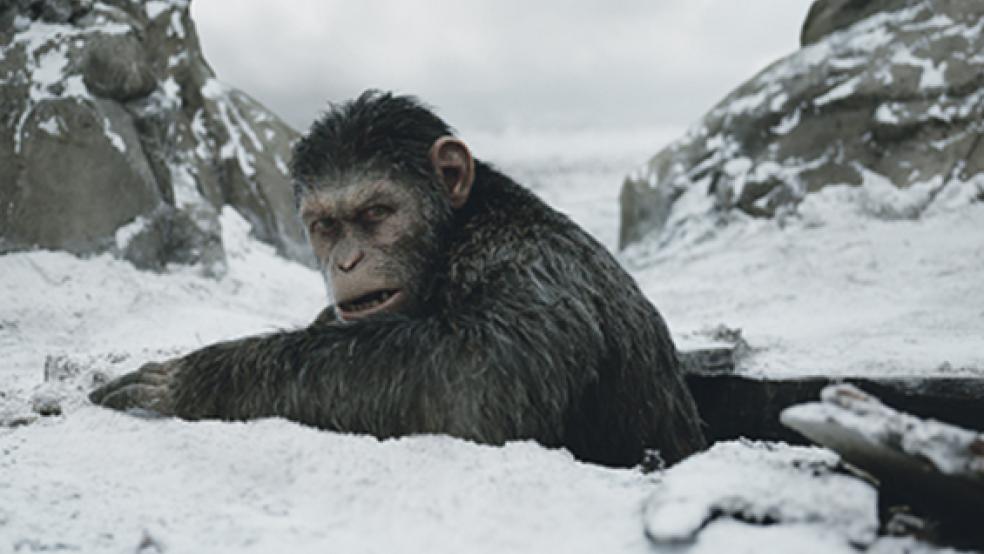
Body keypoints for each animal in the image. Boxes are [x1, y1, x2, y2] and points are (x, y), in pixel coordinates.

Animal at [90, 90, 706, 467]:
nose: (346, 260)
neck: (457, 233)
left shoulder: (536, 277)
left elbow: (475, 380)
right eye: (325, 225)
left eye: (375, 214)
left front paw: (200, 375)